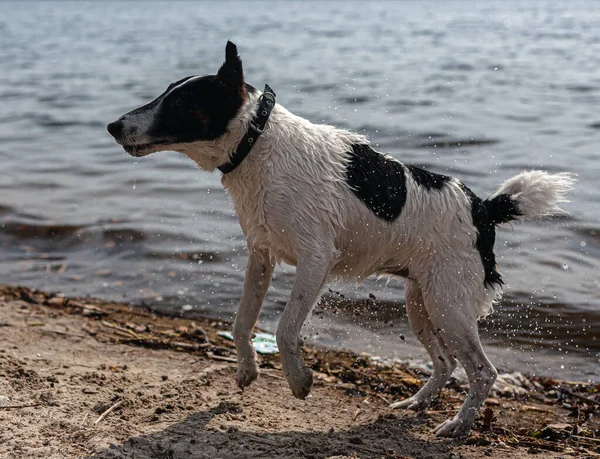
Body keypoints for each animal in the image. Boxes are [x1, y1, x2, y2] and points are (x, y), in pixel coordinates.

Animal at [106, 40, 572, 438]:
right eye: (166, 93)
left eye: (181, 103)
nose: (112, 125)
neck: (257, 144)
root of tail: (484, 207)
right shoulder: (261, 256)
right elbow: (241, 323)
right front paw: (247, 371)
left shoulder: (316, 260)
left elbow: (284, 329)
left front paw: (299, 380)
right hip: (423, 303)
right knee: (445, 363)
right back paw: (418, 403)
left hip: (448, 304)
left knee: (482, 370)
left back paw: (459, 425)